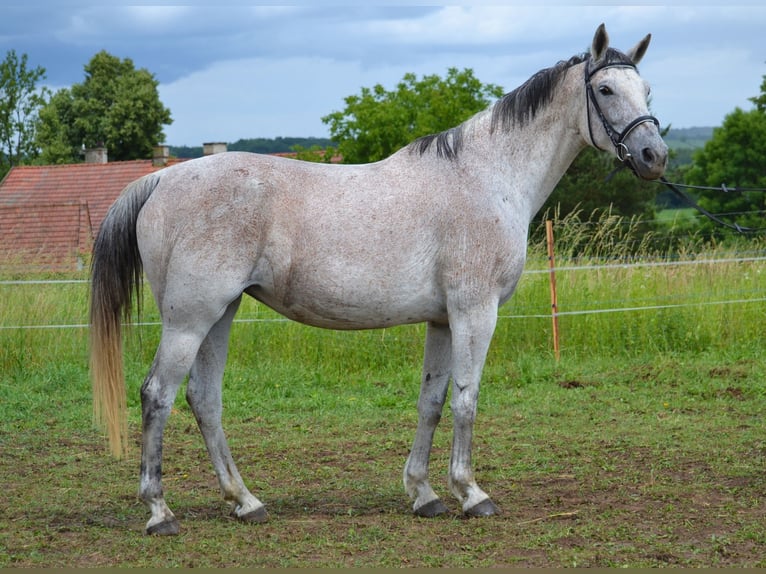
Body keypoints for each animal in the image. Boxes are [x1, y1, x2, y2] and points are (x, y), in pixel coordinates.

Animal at [88, 22, 664, 536]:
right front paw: (471, 493)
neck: (487, 176)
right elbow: (466, 398)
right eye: (606, 89)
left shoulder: (442, 320)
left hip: (220, 314)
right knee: (157, 395)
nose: (654, 156)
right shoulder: (474, 312)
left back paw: (246, 502)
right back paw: (160, 511)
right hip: (190, 319)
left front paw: (424, 494)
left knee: (203, 399)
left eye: (647, 90)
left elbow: (432, 402)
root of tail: (161, 180)